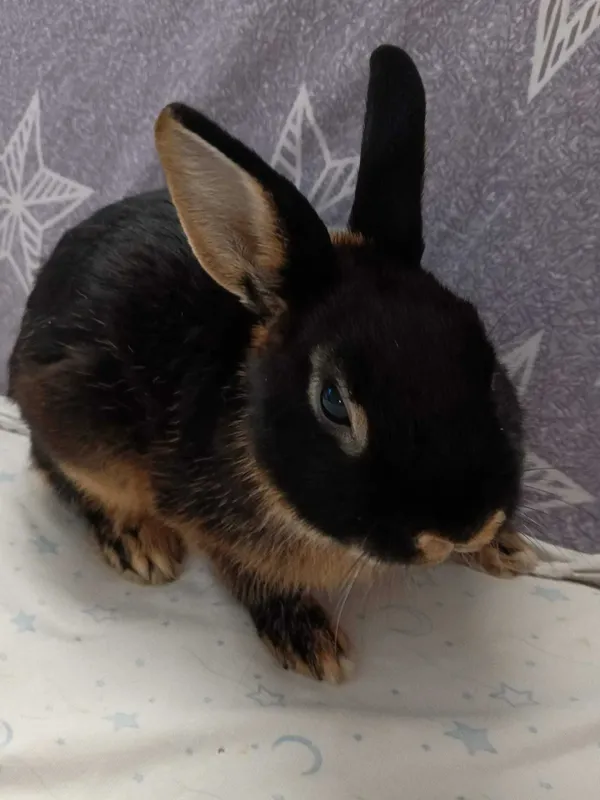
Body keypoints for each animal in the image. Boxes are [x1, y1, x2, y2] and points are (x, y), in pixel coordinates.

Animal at [8, 45, 536, 683]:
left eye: (485, 356)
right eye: (332, 403)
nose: (462, 526)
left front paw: (505, 548)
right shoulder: (212, 526)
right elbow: (248, 574)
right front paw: (310, 641)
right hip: (74, 420)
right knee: (58, 471)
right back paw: (141, 543)